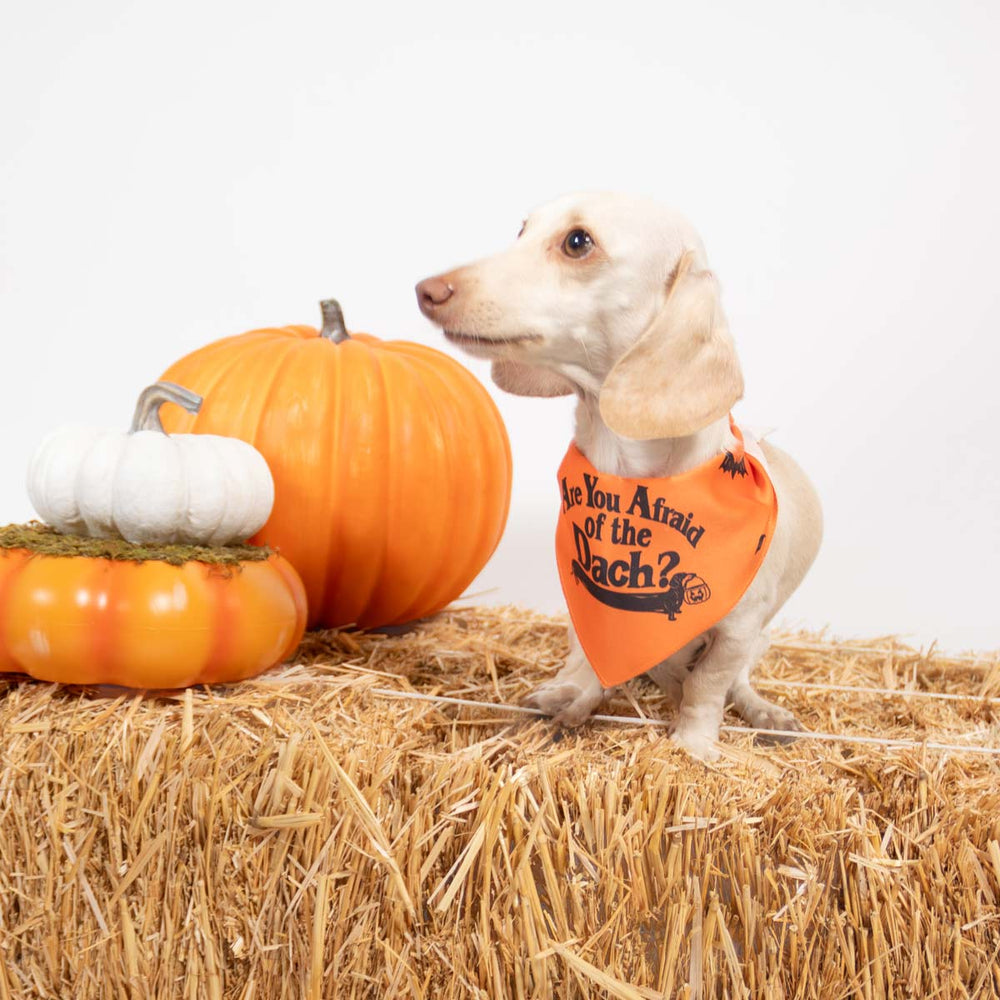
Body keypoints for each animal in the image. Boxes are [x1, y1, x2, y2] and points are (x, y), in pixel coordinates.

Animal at [414, 193, 820, 756]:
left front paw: (693, 745)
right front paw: (573, 698)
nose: (426, 291)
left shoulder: (738, 630)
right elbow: (593, 660)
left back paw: (766, 712)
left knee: (735, 683)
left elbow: (707, 686)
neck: (627, 473)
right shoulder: (585, 607)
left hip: (759, 639)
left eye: (577, 241)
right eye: (521, 230)